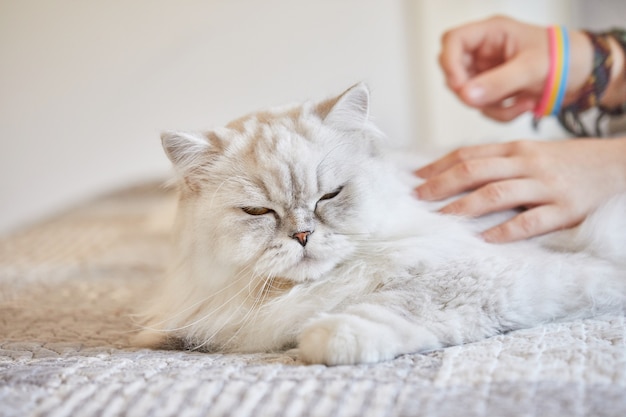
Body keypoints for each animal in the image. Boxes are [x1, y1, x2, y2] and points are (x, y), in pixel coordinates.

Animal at [136, 83, 624, 362]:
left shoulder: (485, 273)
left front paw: (322, 338)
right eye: (258, 212)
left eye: (329, 196)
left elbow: (397, 306)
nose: (302, 235)